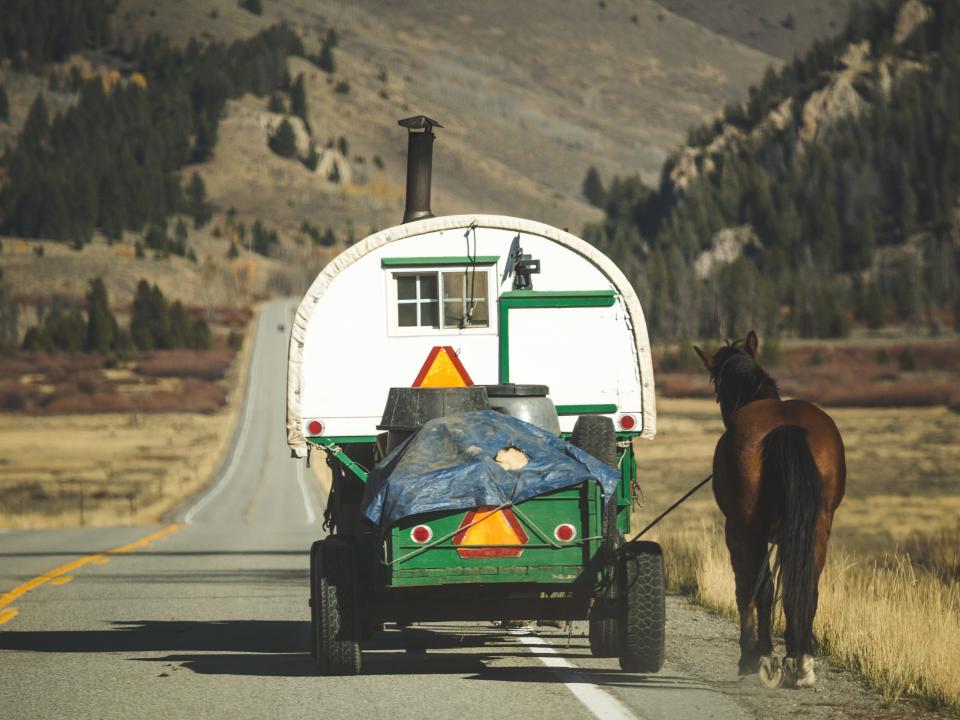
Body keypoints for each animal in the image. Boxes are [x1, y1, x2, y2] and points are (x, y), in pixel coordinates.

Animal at [692, 330, 844, 688]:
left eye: (717, 387)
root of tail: (785, 427)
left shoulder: (736, 531)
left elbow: (747, 587)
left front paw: (752, 653)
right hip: (817, 525)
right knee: (806, 587)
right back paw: (801, 660)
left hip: (749, 528)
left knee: (761, 587)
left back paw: (762, 656)